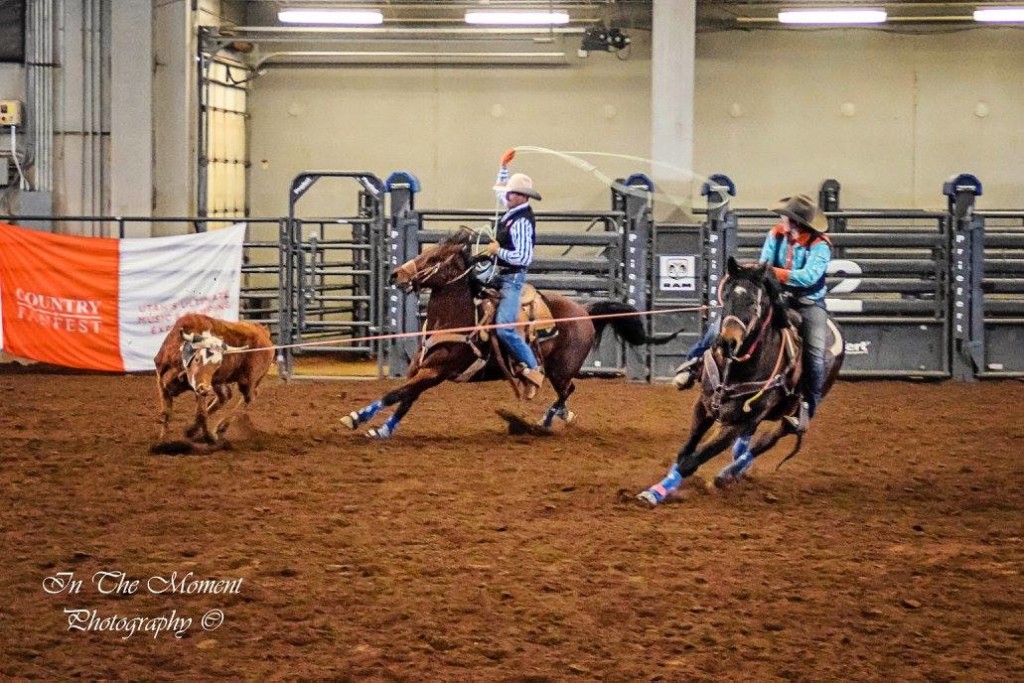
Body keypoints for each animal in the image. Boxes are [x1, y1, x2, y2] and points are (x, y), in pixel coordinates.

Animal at [153, 313, 274, 444]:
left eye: (218, 364)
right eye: (197, 359)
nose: (206, 388)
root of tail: (263, 331)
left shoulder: (200, 389)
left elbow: (201, 414)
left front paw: (205, 436)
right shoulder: (161, 379)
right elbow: (166, 413)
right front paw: (163, 439)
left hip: (248, 381)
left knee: (248, 398)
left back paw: (218, 428)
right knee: (226, 397)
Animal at [339, 229, 684, 440]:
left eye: (435, 259)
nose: (397, 274)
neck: (454, 320)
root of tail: (585, 312)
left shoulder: (437, 371)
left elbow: (395, 394)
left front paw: (354, 417)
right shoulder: (420, 368)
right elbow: (406, 397)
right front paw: (382, 430)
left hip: (561, 369)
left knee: (566, 390)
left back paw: (543, 422)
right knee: (566, 394)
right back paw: (558, 418)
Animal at [634, 255, 843, 507]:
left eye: (754, 304)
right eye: (726, 298)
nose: (727, 343)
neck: (737, 370)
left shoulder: (739, 423)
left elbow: (691, 461)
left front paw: (657, 492)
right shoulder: (704, 406)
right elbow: (685, 452)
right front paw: (655, 489)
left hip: (793, 412)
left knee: (767, 440)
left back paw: (728, 474)